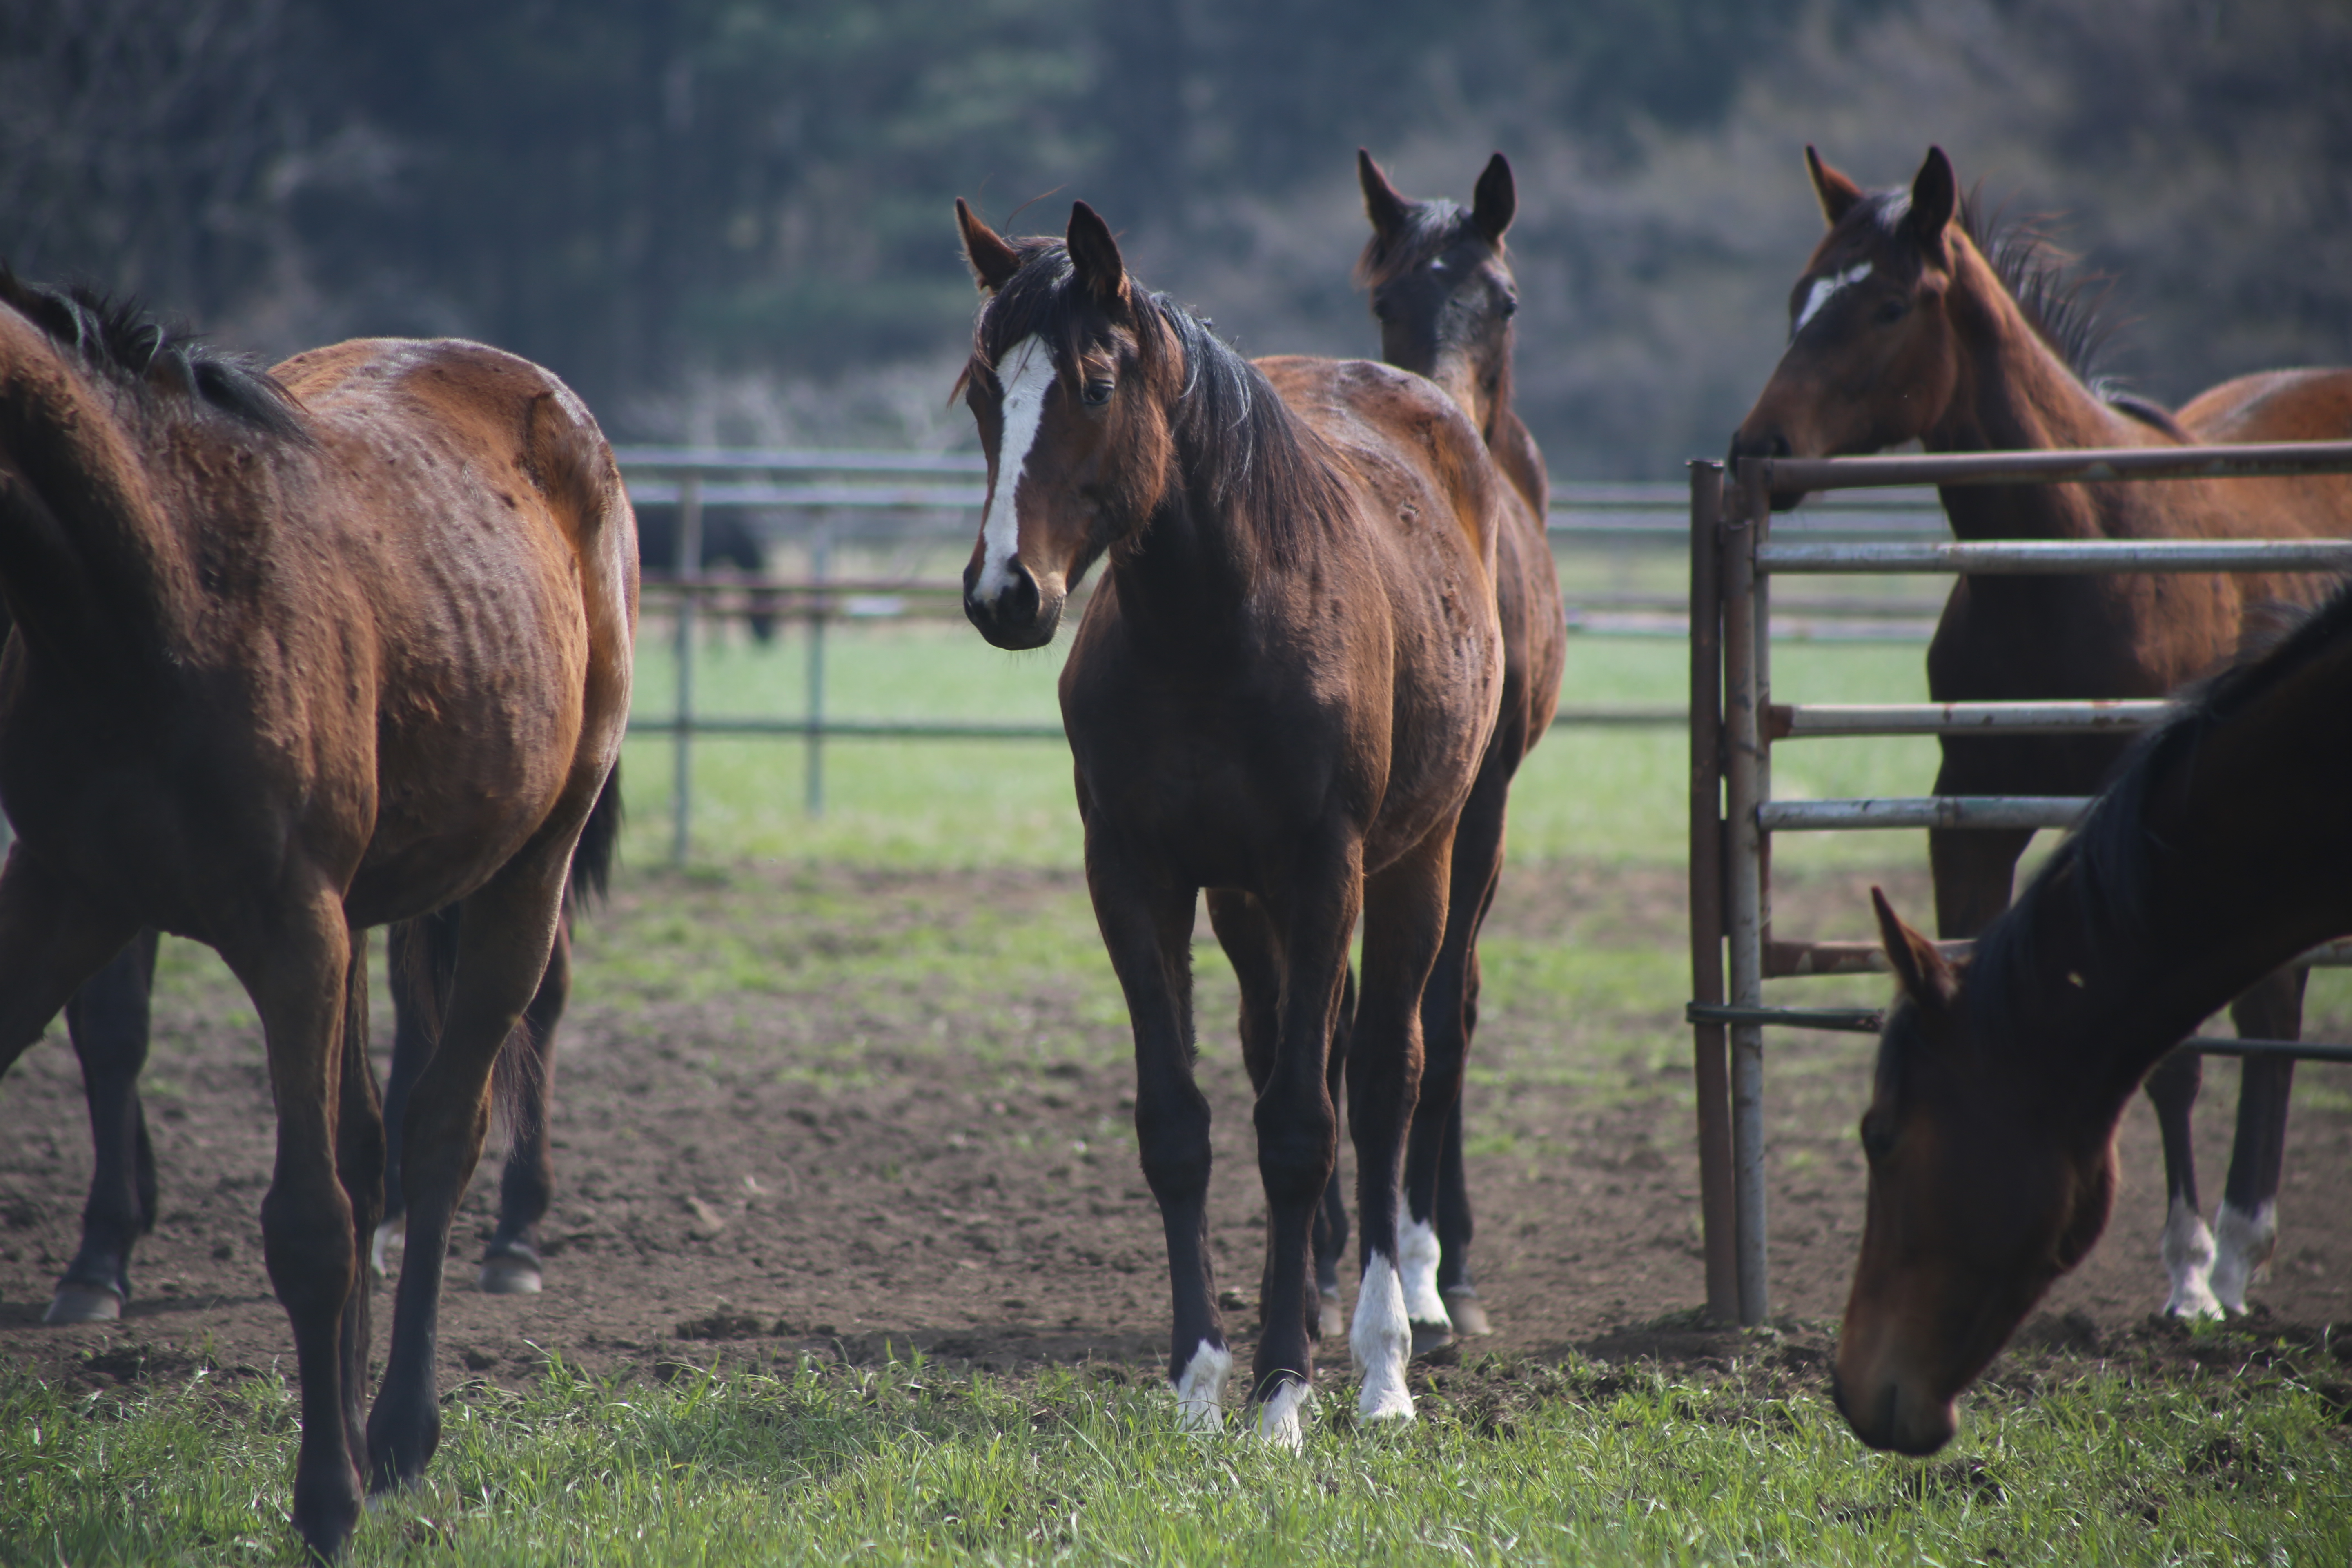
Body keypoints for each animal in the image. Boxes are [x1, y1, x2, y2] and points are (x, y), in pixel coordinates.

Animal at [0, 276, 635, 1561]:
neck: (153, 587)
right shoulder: (63, 887)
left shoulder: (291, 927)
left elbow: (310, 1223)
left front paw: (326, 1501)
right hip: (369, 908)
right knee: (371, 1145)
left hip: (522, 870)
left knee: (440, 1130)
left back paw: (394, 1432)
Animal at [955, 202, 1505, 1439]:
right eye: (979, 393)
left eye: (1095, 384)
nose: (1006, 593)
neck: (1213, 629)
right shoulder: (1136, 876)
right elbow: (1181, 1126)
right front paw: (1201, 1380)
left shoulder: (1322, 873)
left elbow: (1302, 1126)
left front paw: (1284, 1393)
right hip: (1251, 907)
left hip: (1424, 860)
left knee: (1385, 1075)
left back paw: (1385, 1361)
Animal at [1722, 147, 2352, 1326]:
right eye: (1798, 299)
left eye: (1886, 305)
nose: (1756, 450)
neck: (2076, 552)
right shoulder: (1969, 818)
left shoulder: (2142, 836)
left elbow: (2169, 1054)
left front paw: (2185, 1275)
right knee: (2273, 995)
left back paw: (2232, 1255)